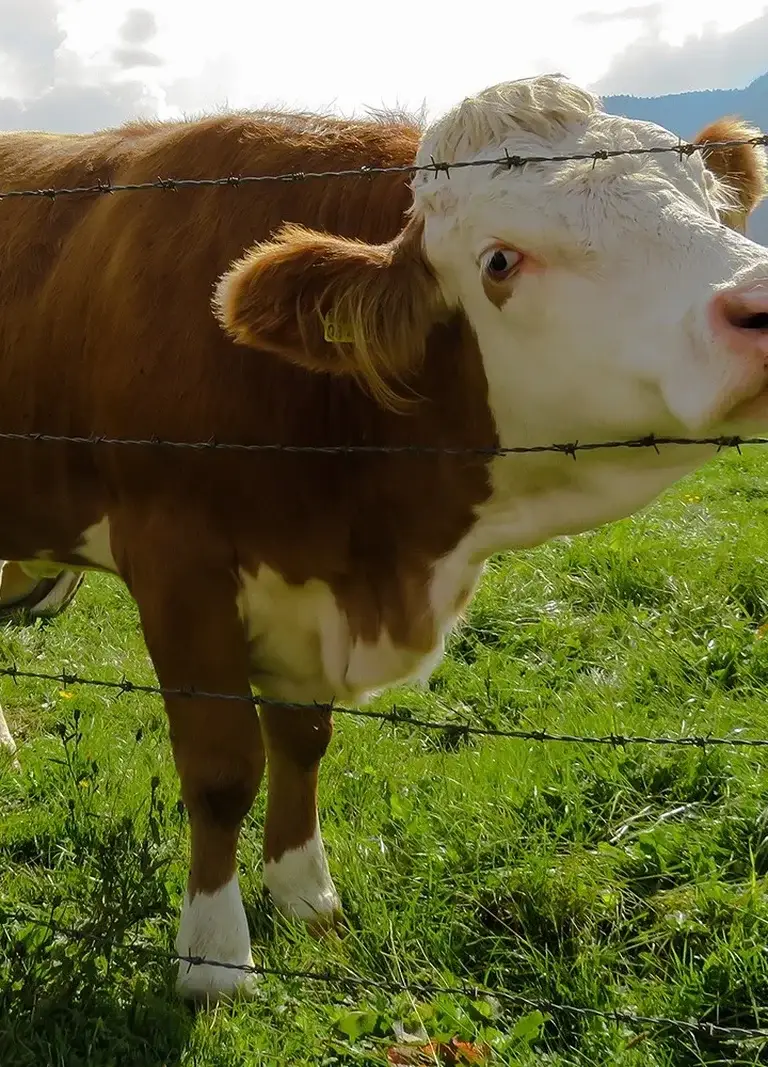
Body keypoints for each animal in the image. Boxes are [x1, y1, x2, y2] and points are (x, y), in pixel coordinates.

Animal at [0, 74, 767, 1004]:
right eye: (499, 262)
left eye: (712, 206)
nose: (758, 303)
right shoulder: (176, 559)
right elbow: (221, 767)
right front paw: (216, 958)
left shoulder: (304, 585)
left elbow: (302, 741)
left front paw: (306, 893)